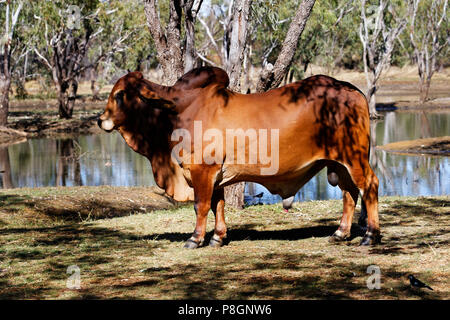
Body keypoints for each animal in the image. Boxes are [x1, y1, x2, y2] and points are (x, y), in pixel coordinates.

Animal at [98, 66, 380, 249]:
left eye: (120, 94)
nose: (100, 120)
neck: (176, 113)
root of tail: (352, 90)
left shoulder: (202, 171)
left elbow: (201, 205)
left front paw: (195, 239)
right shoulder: (216, 176)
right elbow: (218, 205)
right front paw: (218, 237)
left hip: (353, 158)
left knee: (369, 186)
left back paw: (371, 236)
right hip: (338, 164)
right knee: (349, 194)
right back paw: (340, 233)